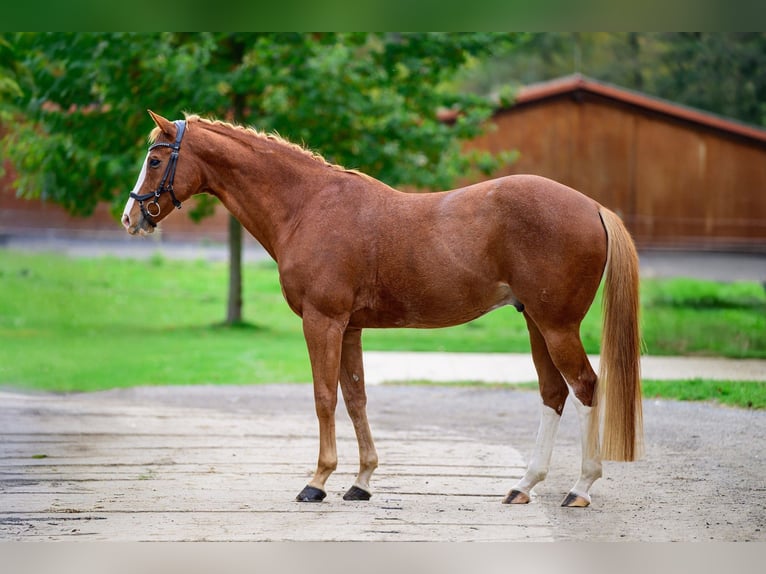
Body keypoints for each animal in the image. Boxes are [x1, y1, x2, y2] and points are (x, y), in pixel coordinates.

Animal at [122, 110, 643, 507]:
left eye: (155, 160)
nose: (130, 218)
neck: (308, 206)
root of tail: (593, 207)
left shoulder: (323, 322)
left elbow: (324, 397)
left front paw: (317, 481)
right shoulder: (350, 328)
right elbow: (356, 398)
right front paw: (361, 481)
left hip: (557, 326)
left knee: (585, 387)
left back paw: (580, 488)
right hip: (536, 322)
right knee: (553, 393)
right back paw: (523, 485)